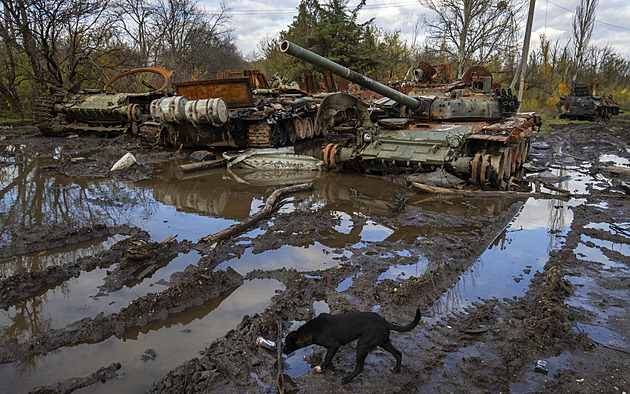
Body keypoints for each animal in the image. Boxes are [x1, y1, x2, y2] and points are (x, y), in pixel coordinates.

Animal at [284, 308, 422, 382]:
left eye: (286, 343)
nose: (283, 351)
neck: (312, 330)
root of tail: (385, 321)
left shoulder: (334, 345)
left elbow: (327, 359)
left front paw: (324, 369)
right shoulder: (331, 348)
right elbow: (327, 358)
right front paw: (329, 369)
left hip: (362, 346)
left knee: (360, 368)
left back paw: (346, 379)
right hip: (383, 342)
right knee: (398, 353)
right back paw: (396, 369)